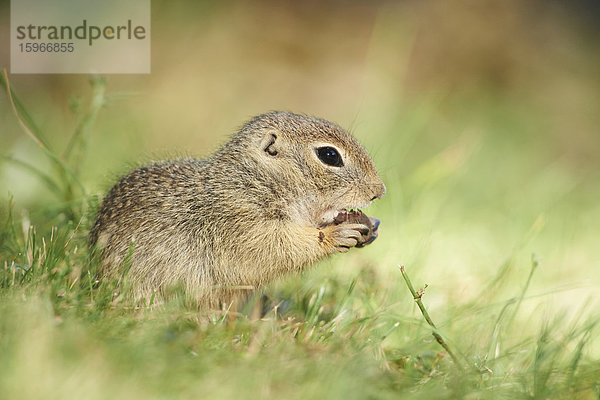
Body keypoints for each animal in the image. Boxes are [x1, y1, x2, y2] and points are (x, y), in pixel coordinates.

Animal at [91, 111, 386, 310]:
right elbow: (277, 248)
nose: (379, 191)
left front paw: (369, 226)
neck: (252, 181)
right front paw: (335, 235)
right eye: (329, 155)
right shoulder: (239, 222)